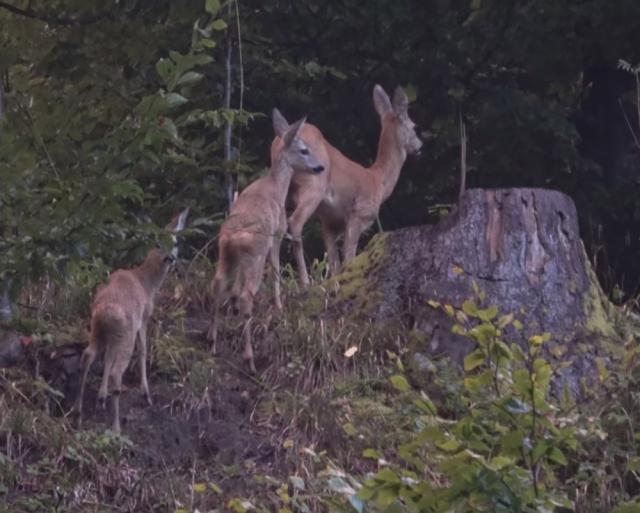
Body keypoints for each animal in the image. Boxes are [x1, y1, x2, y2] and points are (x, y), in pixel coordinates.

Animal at [73, 208, 188, 432]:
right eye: (157, 242)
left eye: (175, 242)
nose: (170, 258)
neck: (147, 283)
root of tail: (105, 311)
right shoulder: (143, 318)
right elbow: (143, 349)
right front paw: (146, 393)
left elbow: (108, 358)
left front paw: (101, 397)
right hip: (125, 334)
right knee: (117, 372)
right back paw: (116, 427)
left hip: (98, 330)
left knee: (88, 356)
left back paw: (79, 413)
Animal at [206, 109, 324, 372]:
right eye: (304, 150)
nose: (320, 167)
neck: (276, 186)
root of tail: (234, 236)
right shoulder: (278, 233)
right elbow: (277, 270)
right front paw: (279, 306)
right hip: (255, 254)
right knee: (247, 294)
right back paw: (249, 359)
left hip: (225, 253)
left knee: (218, 285)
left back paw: (213, 342)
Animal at [272, 83, 422, 284]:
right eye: (414, 126)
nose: (420, 146)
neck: (378, 181)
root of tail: (282, 138)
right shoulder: (358, 213)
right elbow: (349, 256)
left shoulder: (329, 221)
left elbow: (334, 262)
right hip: (313, 185)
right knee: (294, 223)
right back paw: (304, 282)